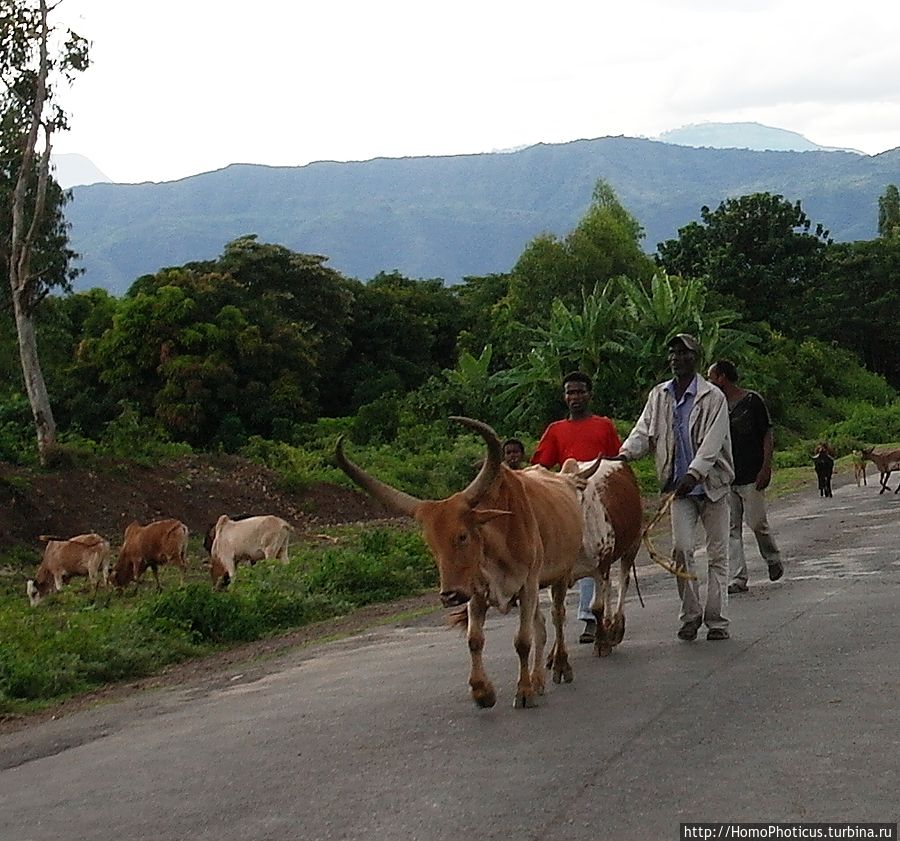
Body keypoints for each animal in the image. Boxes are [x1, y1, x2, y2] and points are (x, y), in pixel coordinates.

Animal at [338, 416, 584, 704]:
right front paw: (482, 691)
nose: (450, 595)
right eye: (431, 544)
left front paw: (523, 691)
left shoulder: (528, 585)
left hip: (558, 577)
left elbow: (522, 641)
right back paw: (538, 679)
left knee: (557, 617)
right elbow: (474, 639)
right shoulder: (476, 591)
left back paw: (561, 666)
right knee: (542, 626)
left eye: (463, 536)